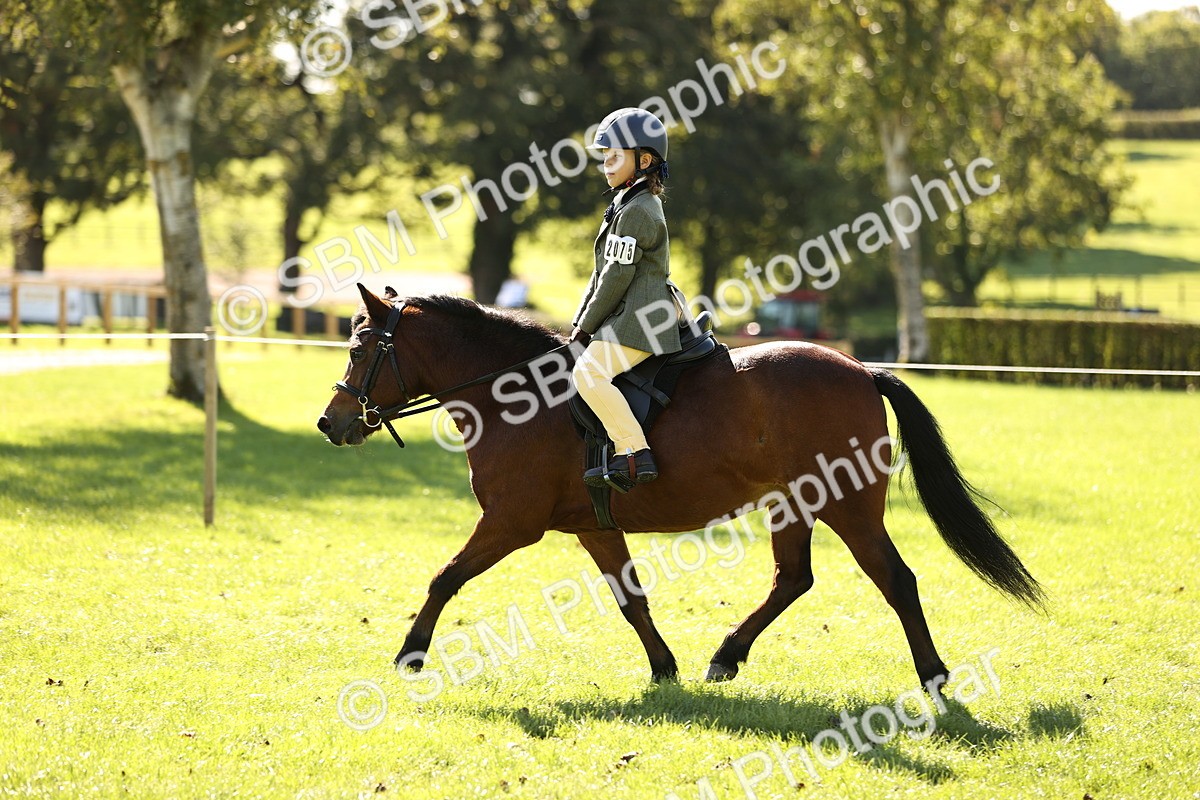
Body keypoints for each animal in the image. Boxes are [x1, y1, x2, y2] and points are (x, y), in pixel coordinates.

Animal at [317, 284, 1045, 692]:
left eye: (360, 350)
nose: (330, 422)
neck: (513, 395)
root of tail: (862, 369)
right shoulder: (594, 527)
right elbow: (631, 600)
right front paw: (663, 667)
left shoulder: (509, 523)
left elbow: (444, 577)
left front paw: (410, 654)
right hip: (795, 502)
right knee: (793, 579)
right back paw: (726, 657)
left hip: (848, 506)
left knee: (897, 580)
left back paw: (935, 678)